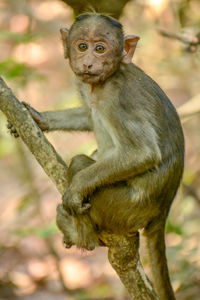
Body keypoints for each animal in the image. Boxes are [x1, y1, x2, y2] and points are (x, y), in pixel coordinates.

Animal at [9, 13, 184, 300]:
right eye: (82, 46)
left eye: (100, 48)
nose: (89, 62)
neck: (102, 83)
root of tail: (162, 211)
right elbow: (87, 114)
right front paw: (39, 119)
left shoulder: (118, 100)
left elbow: (143, 153)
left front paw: (74, 190)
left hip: (123, 208)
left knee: (80, 164)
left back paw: (85, 237)